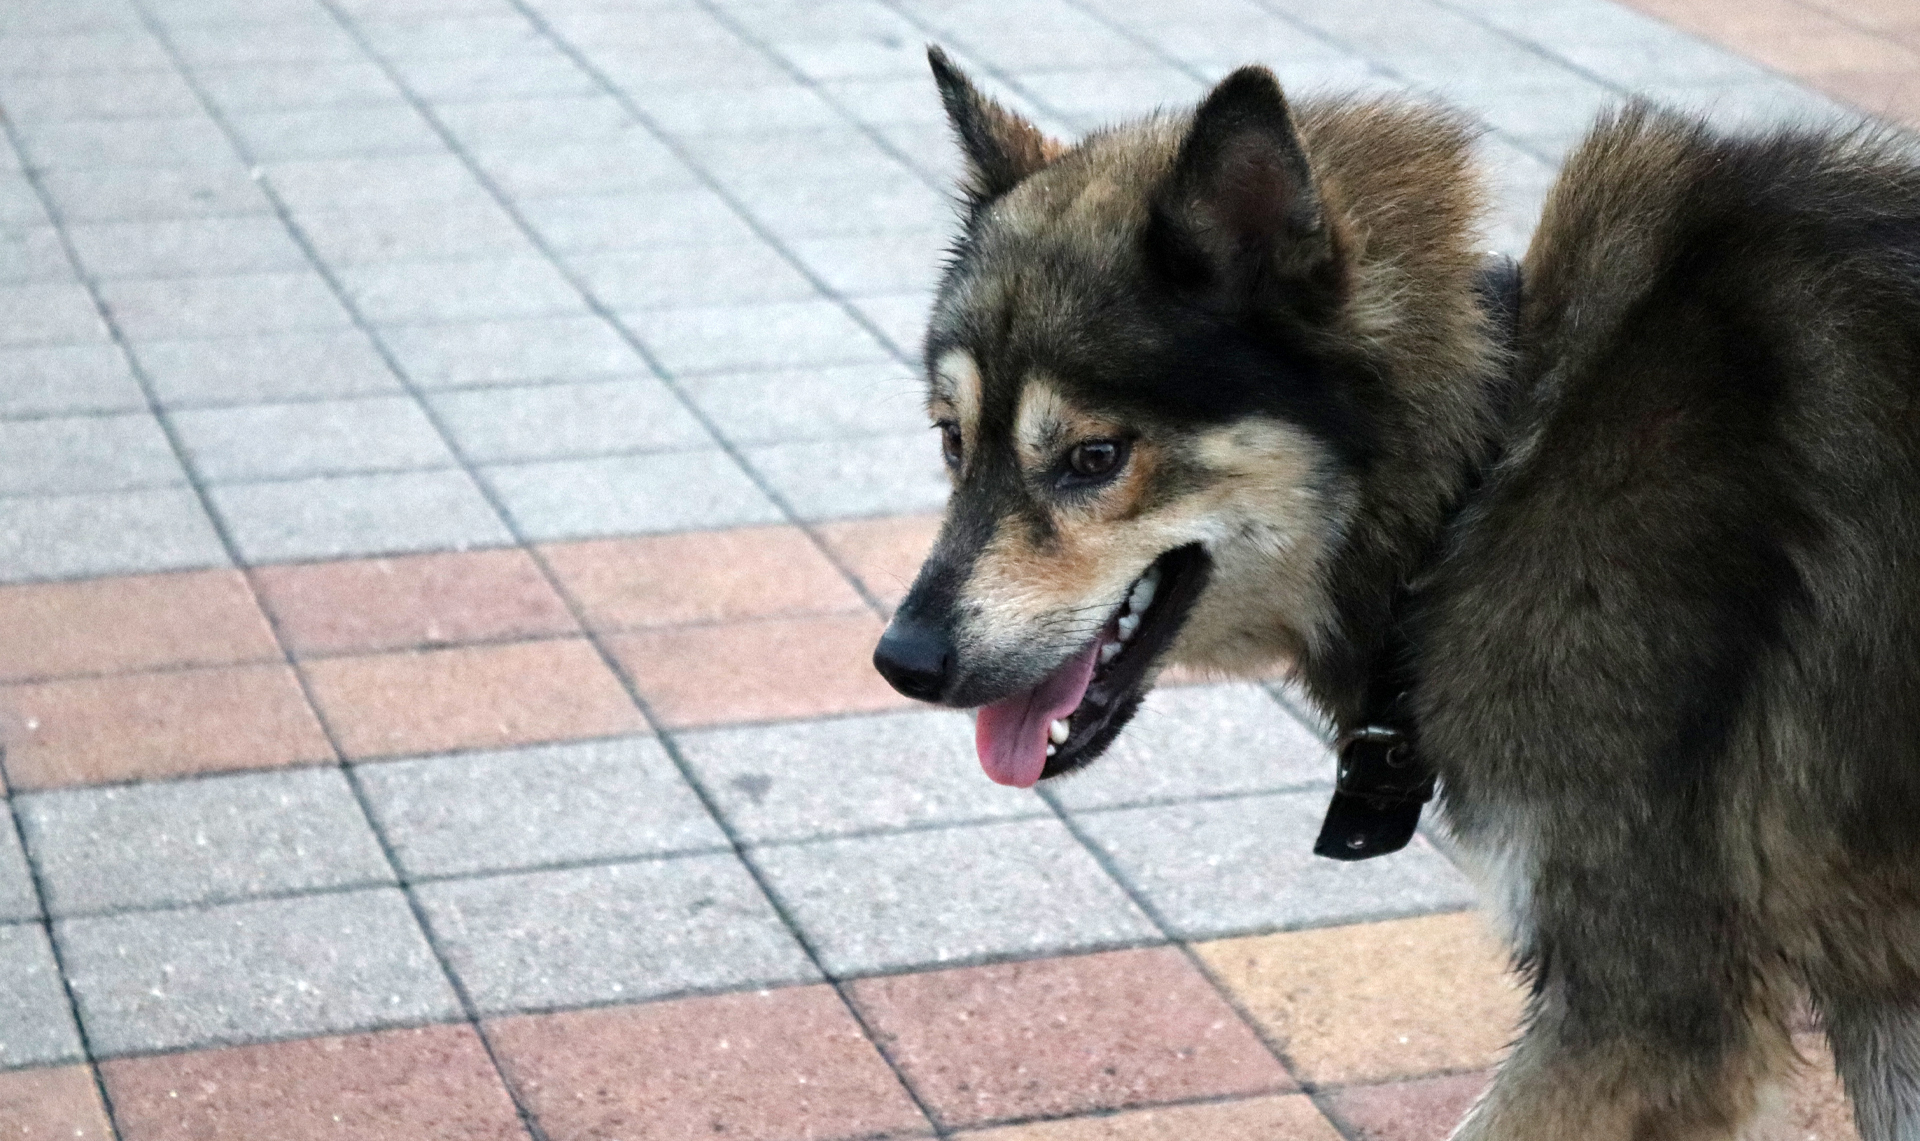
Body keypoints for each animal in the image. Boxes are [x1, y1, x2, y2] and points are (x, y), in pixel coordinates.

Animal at [875, 46, 1920, 1137]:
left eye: (1094, 456)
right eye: (952, 441)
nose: (902, 660)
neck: (1480, 479)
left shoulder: (1647, 1014)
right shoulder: (1870, 996)